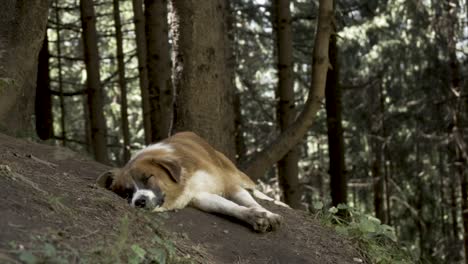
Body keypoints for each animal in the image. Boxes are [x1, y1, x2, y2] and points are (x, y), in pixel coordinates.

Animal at [97, 131, 284, 232]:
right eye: (126, 193)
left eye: (147, 177)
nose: (139, 201)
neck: (183, 180)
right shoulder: (200, 197)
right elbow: (228, 207)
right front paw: (252, 216)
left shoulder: (229, 185)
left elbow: (249, 201)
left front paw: (267, 213)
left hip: (234, 172)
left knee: (253, 189)